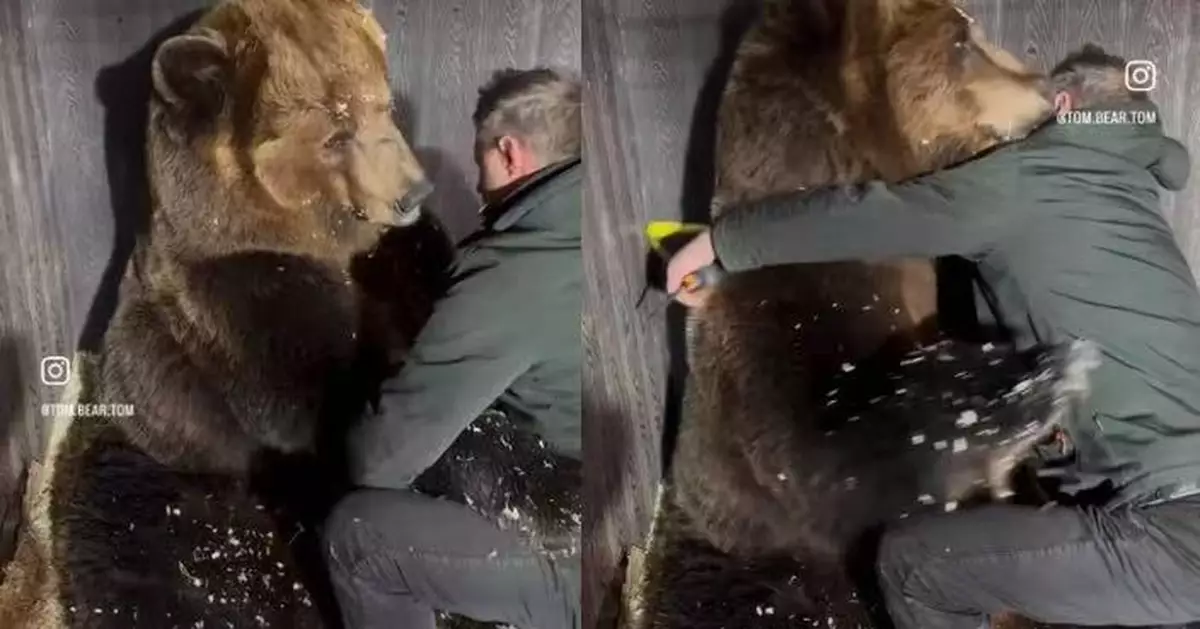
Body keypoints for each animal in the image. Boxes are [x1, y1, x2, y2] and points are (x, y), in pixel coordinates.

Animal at [0, 1, 577, 627]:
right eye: (334, 134)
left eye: (383, 104)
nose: (411, 192)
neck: (326, 240)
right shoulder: (244, 302)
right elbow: (351, 409)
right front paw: (552, 490)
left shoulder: (406, 262)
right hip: (168, 471)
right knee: (188, 571)